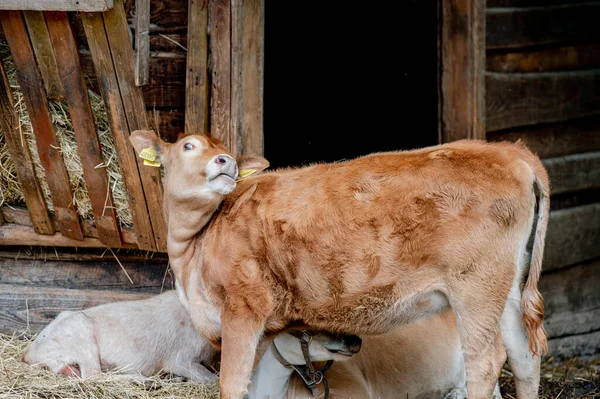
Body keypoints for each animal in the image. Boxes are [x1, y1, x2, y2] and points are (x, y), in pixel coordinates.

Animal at [129, 132, 552, 399]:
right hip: (510, 288)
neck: (195, 247)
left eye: (225, 149)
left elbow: (231, 386)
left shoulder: (243, 308)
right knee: (524, 357)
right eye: (188, 145)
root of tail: (512, 153)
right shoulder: (268, 328)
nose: (226, 162)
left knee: (485, 362)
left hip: (476, 288)